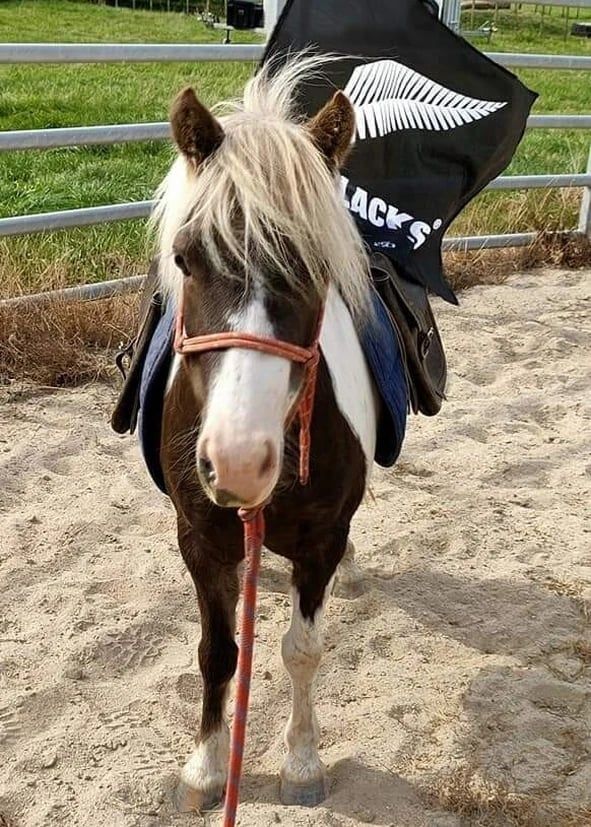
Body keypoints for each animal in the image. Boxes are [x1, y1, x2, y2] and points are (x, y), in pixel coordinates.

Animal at [153, 56, 390, 812]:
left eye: (319, 266)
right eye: (186, 258)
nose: (237, 462)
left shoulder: (320, 538)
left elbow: (301, 651)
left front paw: (302, 762)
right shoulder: (199, 540)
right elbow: (217, 653)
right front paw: (204, 770)